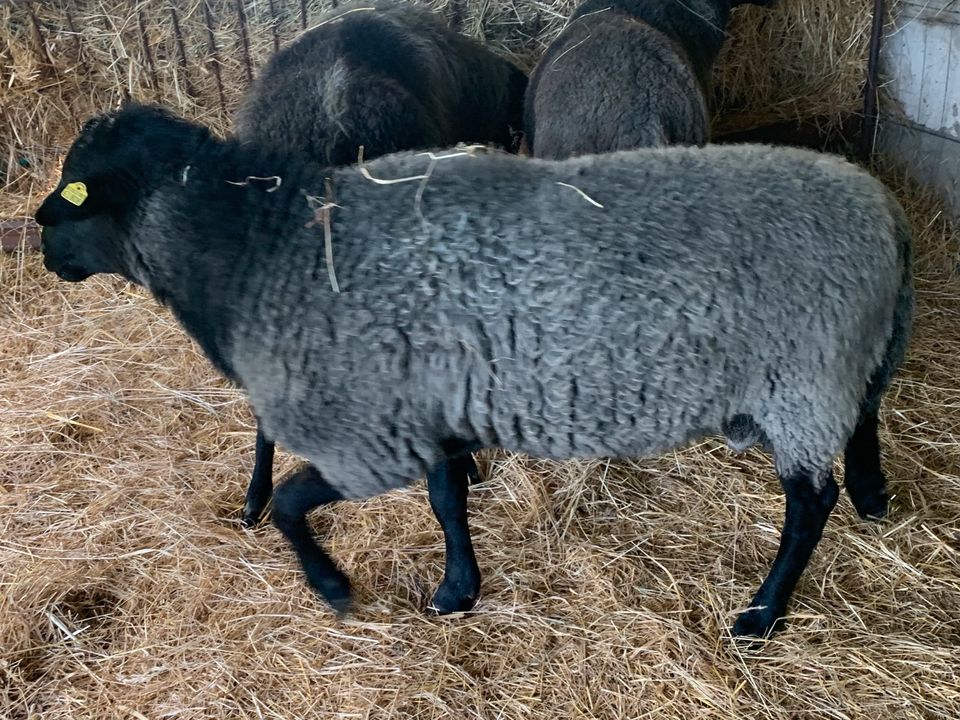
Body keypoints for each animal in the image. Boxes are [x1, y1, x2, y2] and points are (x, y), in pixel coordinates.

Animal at [35, 104, 916, 640]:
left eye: (75, 196)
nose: (42, 252)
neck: (267, 247)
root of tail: (882, 210)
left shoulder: (366, 436)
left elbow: (288, 502)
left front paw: (334, 588)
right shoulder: (429, 411)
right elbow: (446, 500)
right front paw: (459, 589)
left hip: (803, 377)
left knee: (809, 504)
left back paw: (763, 614)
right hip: (846, 358)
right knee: (867, 415)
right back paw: (873, 497)